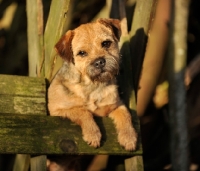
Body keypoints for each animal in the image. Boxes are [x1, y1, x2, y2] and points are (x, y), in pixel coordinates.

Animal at [47, 17, 137, 151]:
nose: (99, 62)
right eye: (82, 53)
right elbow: (83, 111)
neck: (93, 87)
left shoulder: (116, 105)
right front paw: (93, 134)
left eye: (106, 43)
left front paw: (129, 138)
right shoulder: (57, 111)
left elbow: (126, 115)